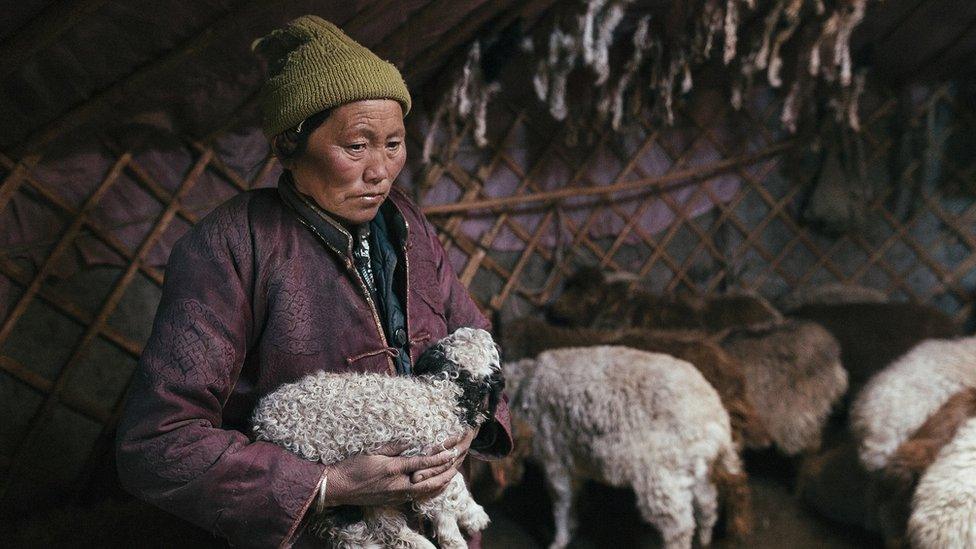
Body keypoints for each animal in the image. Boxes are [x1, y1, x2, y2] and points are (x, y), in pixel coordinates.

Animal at [250, 328, 504, 544]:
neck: (445, 390)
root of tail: (262, 423)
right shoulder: (429, 459)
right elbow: (450, 490)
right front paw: (465, 526)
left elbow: (454, 486)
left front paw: (471, 517)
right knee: (371, 529)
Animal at [504, 346, 748, 548]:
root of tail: (716, 418)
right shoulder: (573, 458)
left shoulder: (554, 455)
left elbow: (561, 501)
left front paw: (560, 539)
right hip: (696, 467)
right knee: (707, 503)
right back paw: (705, 539)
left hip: (663, 471)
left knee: (679, 526)